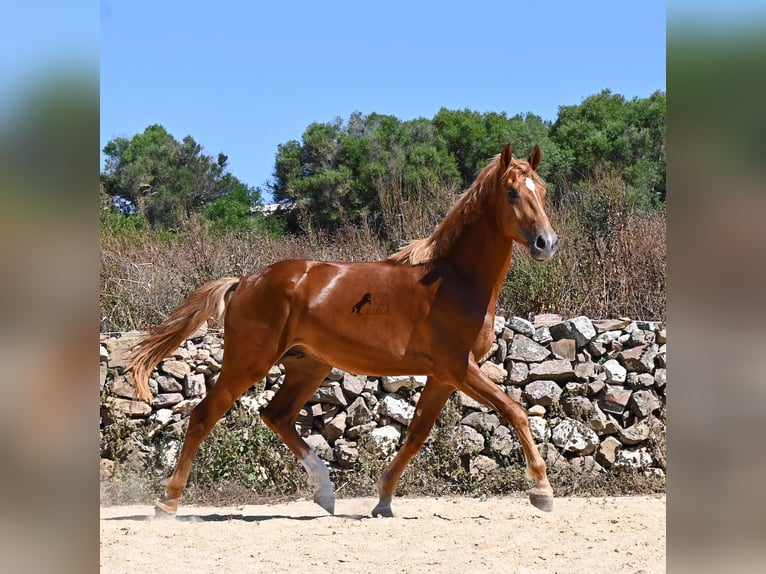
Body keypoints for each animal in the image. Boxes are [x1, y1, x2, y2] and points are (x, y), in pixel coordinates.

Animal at [127, 143, 559, 517]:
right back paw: (168, 503)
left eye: (542, 190)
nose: (546, 243)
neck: (453, 280)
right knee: (204, 416)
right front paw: (541, 491)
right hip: (247, 363)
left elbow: (416, 433)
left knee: (277, 415)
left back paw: (324, 492)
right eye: (511, 193)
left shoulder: (442, 376)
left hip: (308, 365)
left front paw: (383, 499)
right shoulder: (457, 366)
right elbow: (515, 411)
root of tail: (245, 281)